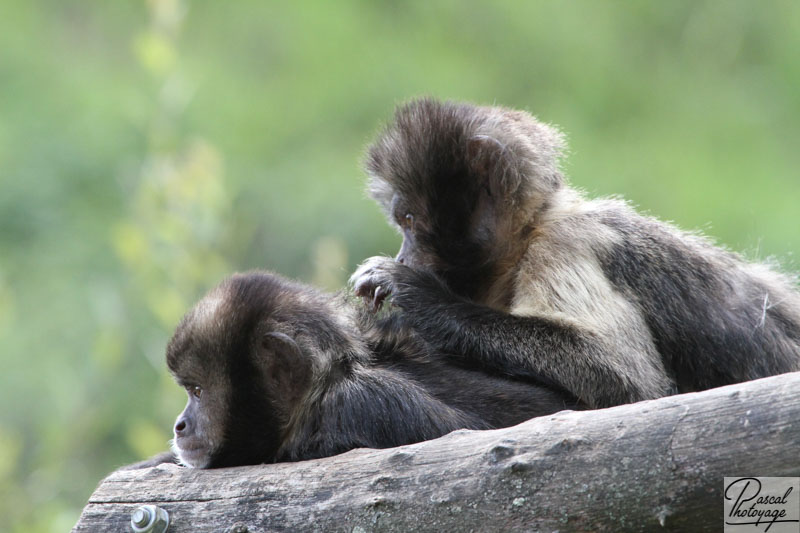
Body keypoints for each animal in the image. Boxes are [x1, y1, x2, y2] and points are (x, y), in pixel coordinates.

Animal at [354, 97, 800, 408]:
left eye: (409, 221)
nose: (403, 256)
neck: (527, 236)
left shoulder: (566, 244)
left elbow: (626, 378)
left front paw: (418, 295)